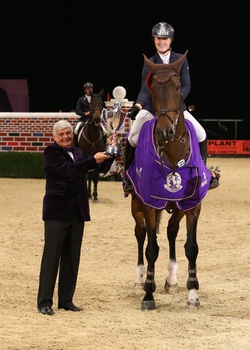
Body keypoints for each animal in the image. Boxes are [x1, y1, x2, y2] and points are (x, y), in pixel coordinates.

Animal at [127, 50, 211, 310]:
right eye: (152, 88)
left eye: (176, 87)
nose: (166, 132)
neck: (173, 152)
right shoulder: (149, 204)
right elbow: (151, 248)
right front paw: (148, 295)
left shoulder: (193, 205)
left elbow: (191, 247)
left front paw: (192, 294)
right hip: (136, 204)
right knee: (141, 233)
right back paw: (140, 278)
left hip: (178, 207)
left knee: (172, 231)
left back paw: (172, 279)